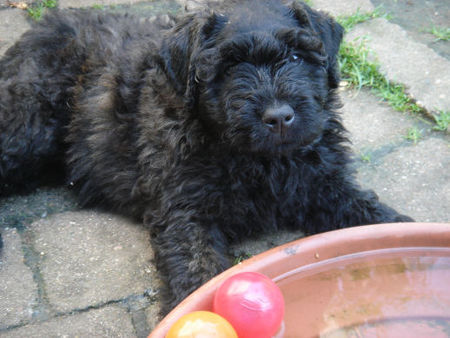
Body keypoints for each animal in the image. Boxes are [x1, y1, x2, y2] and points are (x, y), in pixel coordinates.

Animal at [0, 0, 412, 312]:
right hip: (28, 127)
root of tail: (42, 27)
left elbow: (370, 214)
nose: (279, 117)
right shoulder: (185, 211)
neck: (261, 160)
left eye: (297, 55)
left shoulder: (323, 182)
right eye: (230, 66)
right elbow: (198, 272)